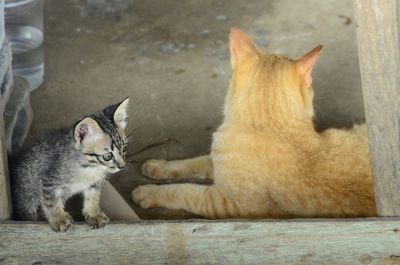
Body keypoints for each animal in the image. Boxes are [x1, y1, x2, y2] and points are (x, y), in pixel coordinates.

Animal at [9, 98, 130, 230]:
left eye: (124, 149)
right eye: (108, 156)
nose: (122, 166)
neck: (90, 168)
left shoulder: (94, 183)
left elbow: (93, 196)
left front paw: (93, 213)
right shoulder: (49, 181)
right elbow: (51, 201)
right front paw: (59, 219)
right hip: (25, 200)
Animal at [133, 27, 376, 218]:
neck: (268, 126)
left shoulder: (227, 203)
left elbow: (185, 191)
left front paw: (149, 192)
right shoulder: (218, 165)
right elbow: (194, 161)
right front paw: (159, 166)